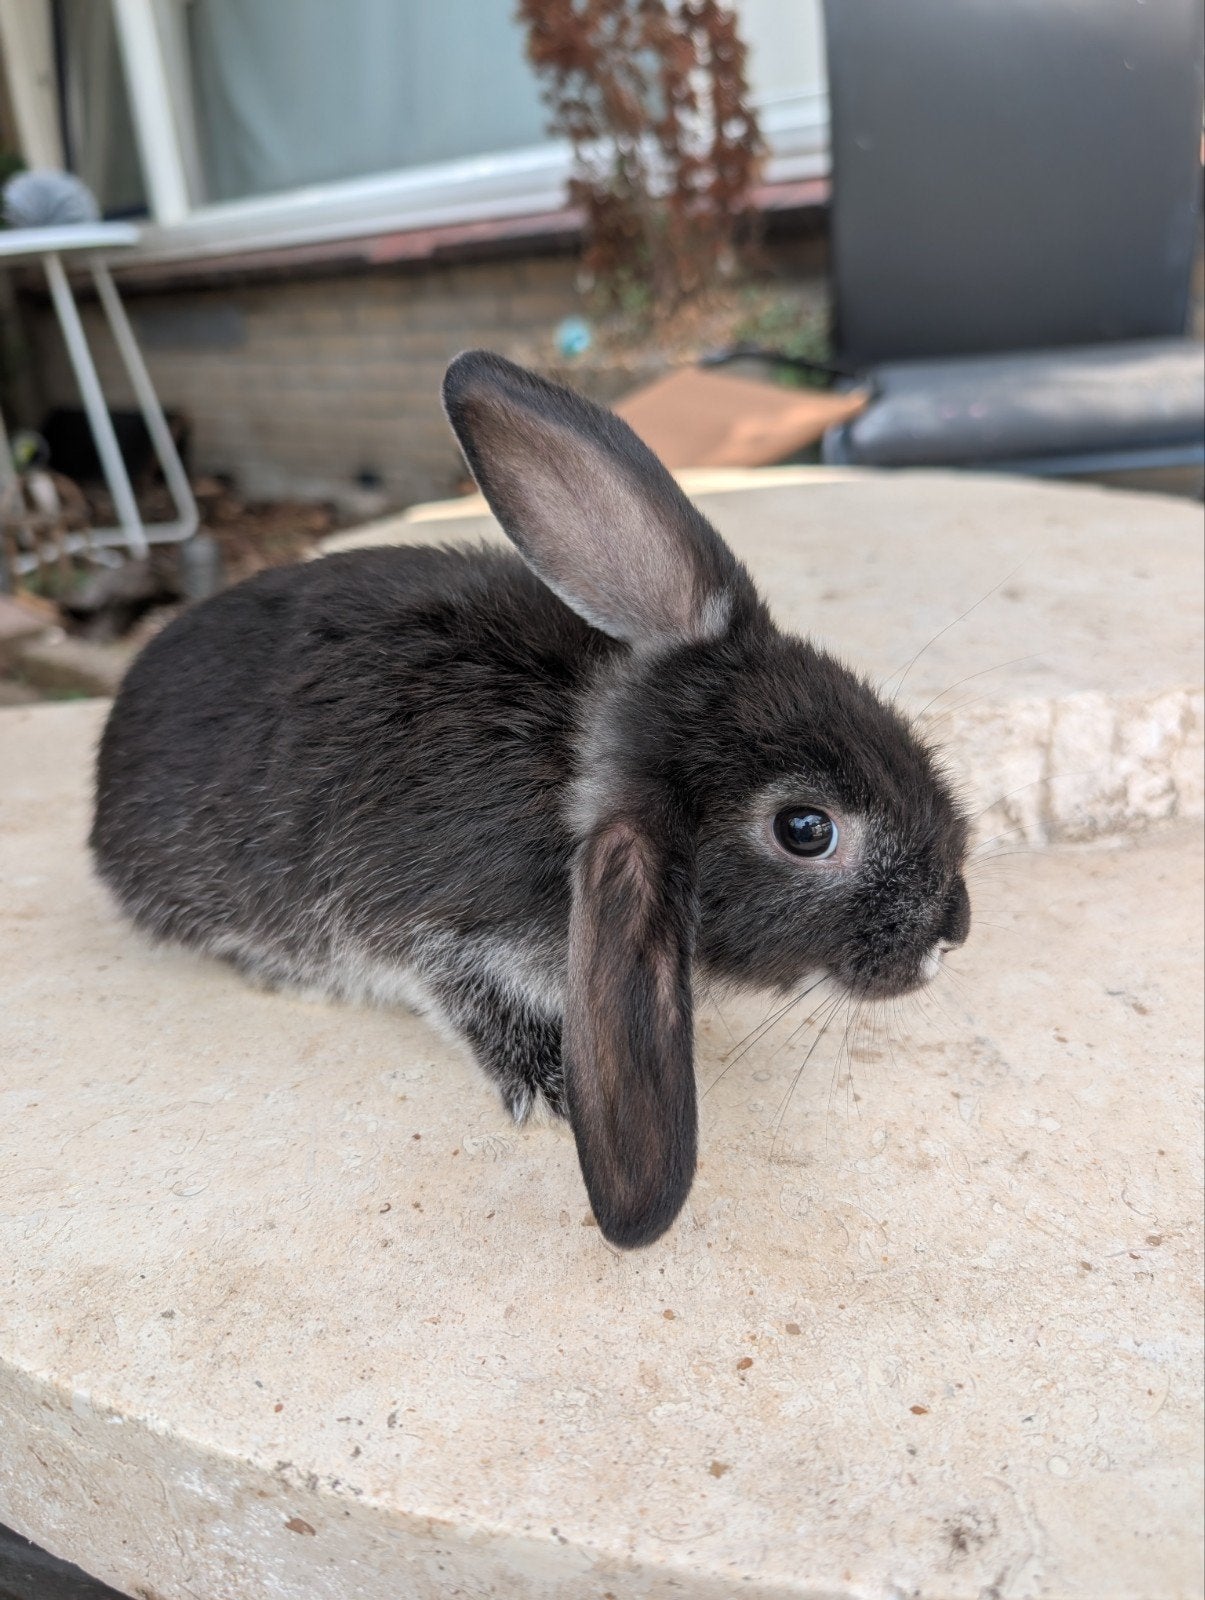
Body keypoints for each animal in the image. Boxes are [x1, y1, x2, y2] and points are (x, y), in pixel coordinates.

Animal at [91, 350, 971, 1249]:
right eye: (804, 829)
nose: (952, 930)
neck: (569, 760)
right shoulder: (437, 930)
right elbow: (461, 993)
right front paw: (550, 1082)